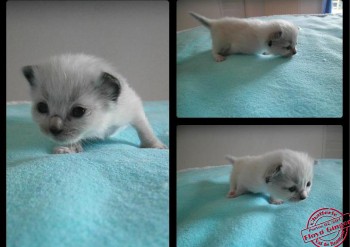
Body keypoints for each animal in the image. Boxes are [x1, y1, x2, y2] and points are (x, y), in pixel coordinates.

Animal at [21, 53, 167, 153]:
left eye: (78, 111)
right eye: (42, 108)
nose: (53, 130)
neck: (99, 125)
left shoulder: (133, 109)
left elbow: (144, 129)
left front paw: (155, 146)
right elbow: (73, 139)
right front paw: (68, 149)